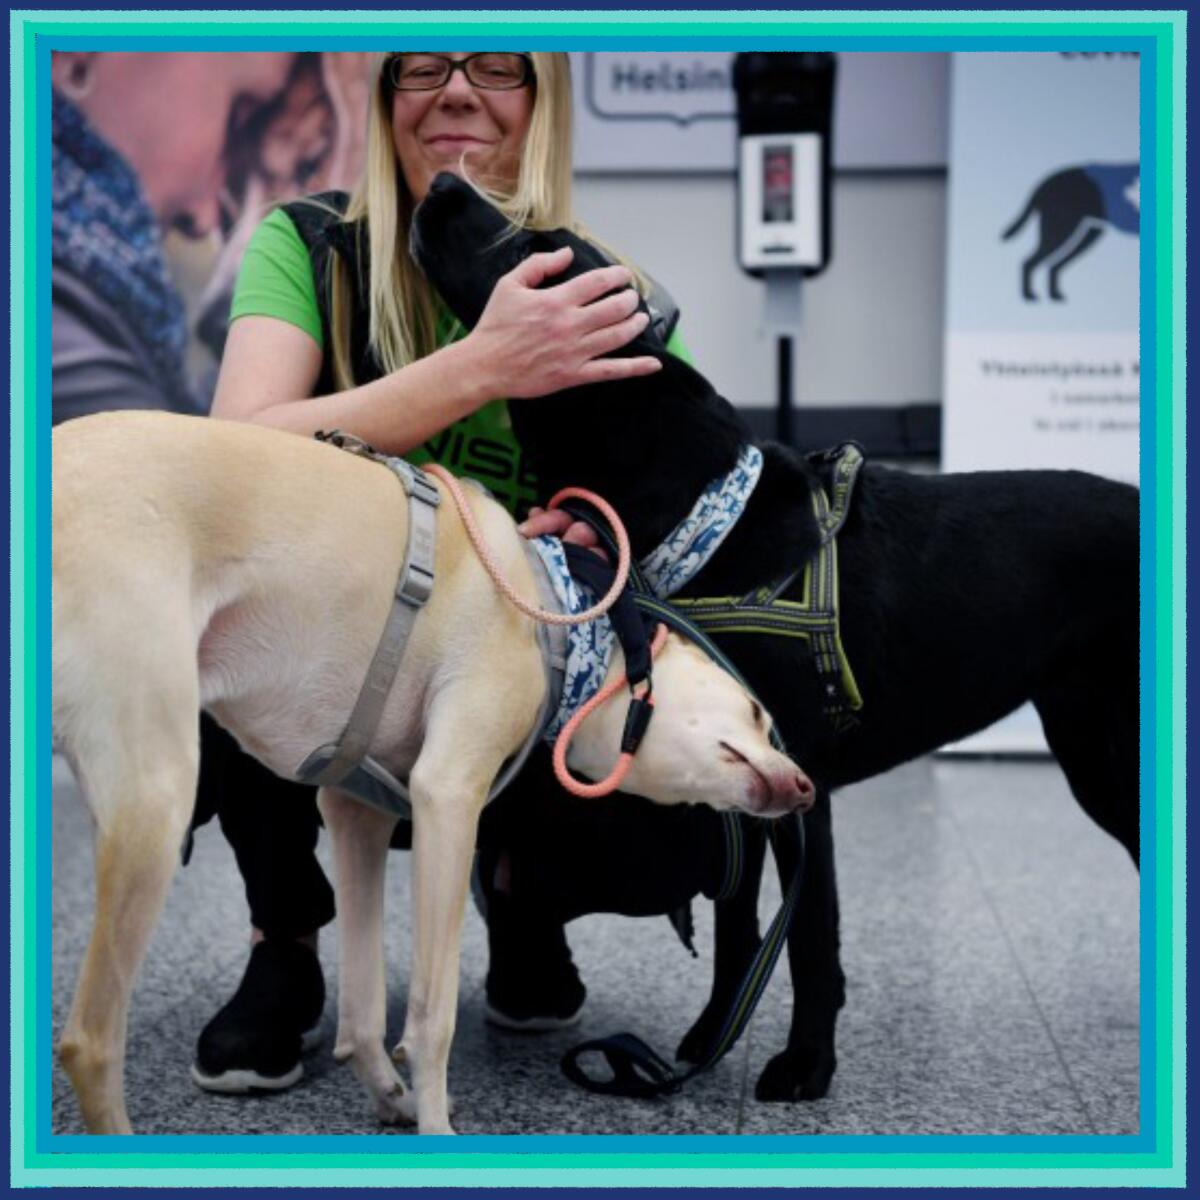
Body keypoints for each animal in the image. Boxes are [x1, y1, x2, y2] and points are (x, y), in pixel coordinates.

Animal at [49, 412, 816, 1132]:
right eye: (757, 712)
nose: (807, 788)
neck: (562, 613)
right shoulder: (447, 798)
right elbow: (432, 1015)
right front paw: (436, 1123)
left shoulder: (355, 815)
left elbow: (363, 1013)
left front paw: (392, 1097)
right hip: (157, 797)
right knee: (89, 1041)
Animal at [410, 174, 1132, 1099]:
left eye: (532, 249)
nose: (441, 182)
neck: (709, 512)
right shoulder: (737, 780)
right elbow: (736, 930)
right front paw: (710, 1038)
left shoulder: (801, 786)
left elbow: (812, 940)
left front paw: (804, 1065)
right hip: (1093, 754)